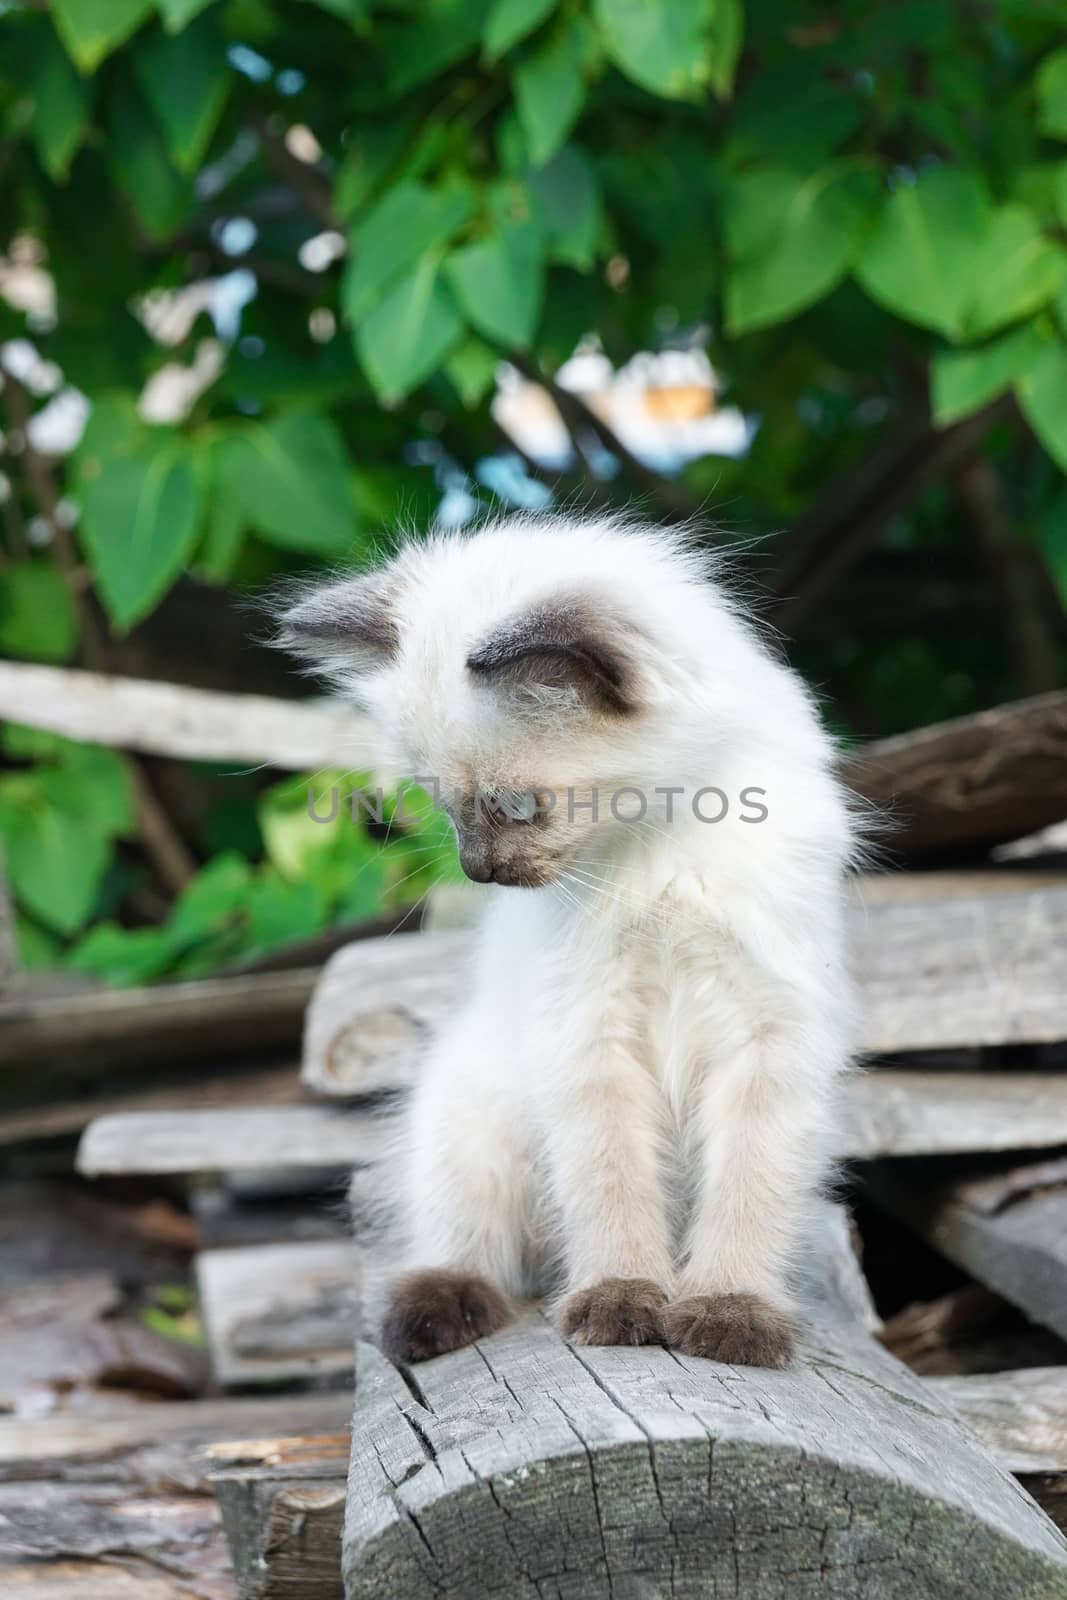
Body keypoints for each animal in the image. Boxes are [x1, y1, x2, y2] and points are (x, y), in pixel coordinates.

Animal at [278, 518, 857, 1369]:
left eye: (519, 808)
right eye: (441, 804)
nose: (478, 872)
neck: (656, 845)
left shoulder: (769, 1032)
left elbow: (744, 1194)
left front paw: (727, 1315)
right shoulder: (588, 1031)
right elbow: (610, 1182)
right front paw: (620, 1304)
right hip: (472, 1107)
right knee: (478, 1247)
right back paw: (434, 1316)